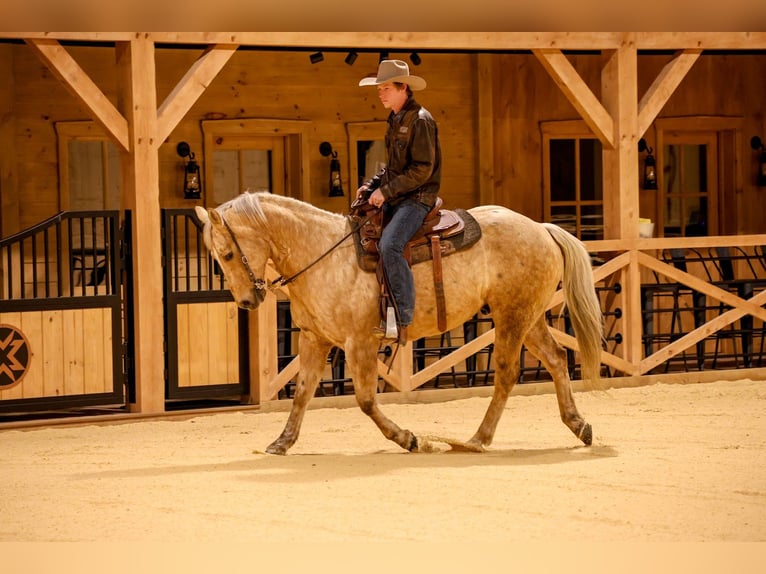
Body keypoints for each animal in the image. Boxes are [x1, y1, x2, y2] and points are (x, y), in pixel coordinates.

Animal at [195, 192, 603, 455]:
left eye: (227, 254)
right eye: (216, 256)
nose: (247, 301)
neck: (323, 253)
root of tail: (542, 228)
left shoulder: (359, 343)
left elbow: (364, 400)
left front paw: (409, 439)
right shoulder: (314, 339)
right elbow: (302, 393)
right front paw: (282, 442)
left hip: (512, 318)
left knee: (506, 373)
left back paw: (478, 439)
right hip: (528, 317)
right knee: (556, 359)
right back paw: (579, 425)